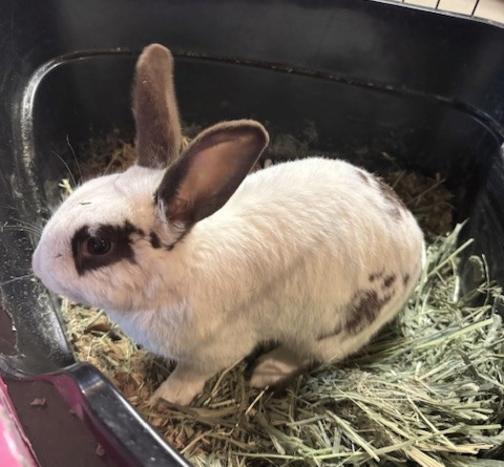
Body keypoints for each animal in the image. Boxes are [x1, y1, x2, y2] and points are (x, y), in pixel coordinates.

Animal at [32, 43, 425, 406]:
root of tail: (416, 240)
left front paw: (164, 399)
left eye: (97, 244)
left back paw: (267, 371)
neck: (173, 278)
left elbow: (191, 375)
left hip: (332, 329)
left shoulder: (216, 350)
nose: (37, 267)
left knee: (308, 354)